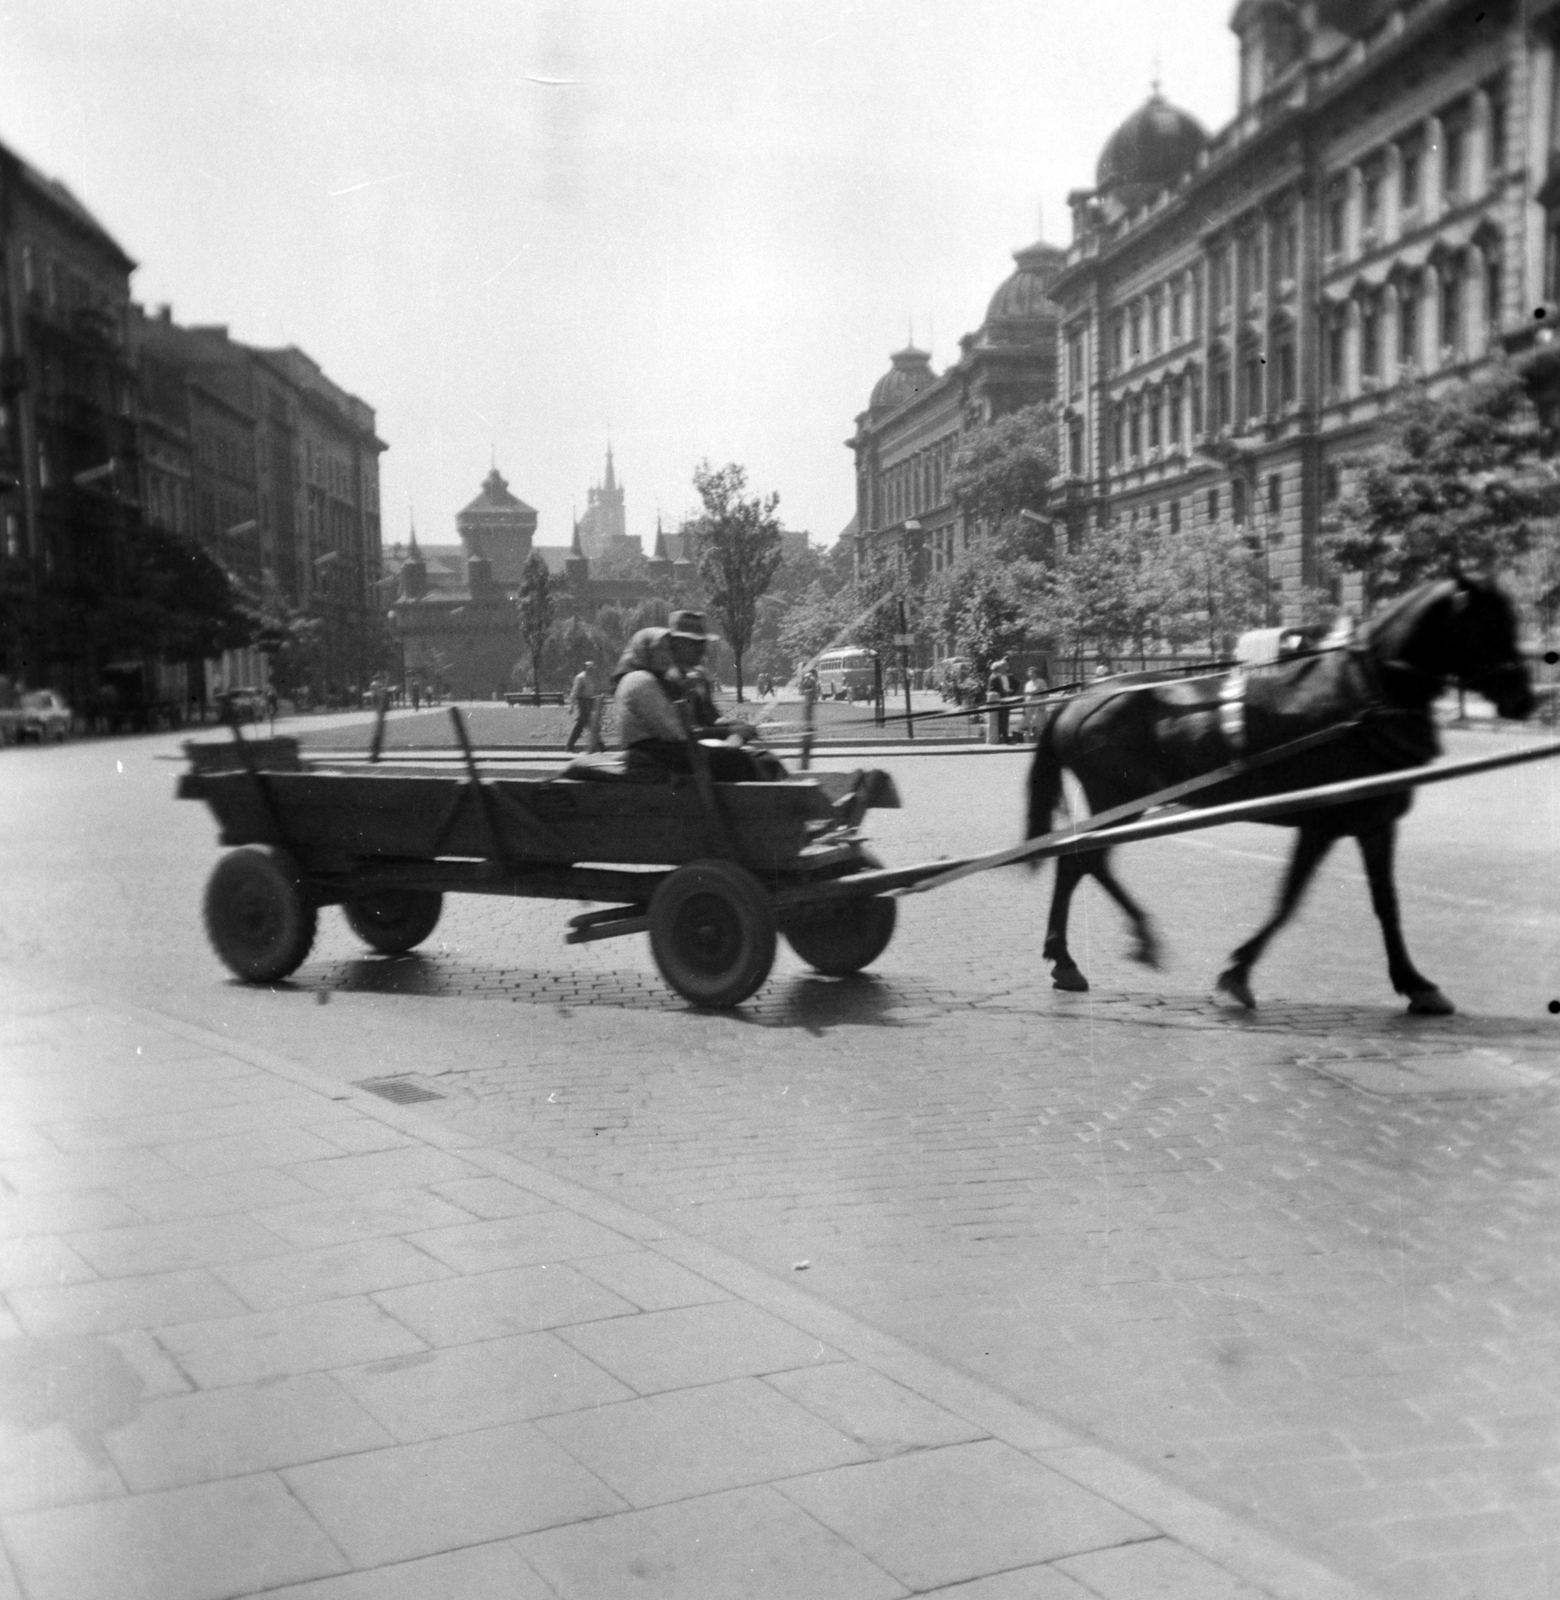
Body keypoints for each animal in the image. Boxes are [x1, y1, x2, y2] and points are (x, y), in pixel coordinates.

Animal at [1024, 579, 1536, 1011]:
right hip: (1115, 799)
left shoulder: (1376, 821)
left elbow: (1386, 904)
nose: (1525, 699)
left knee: (1075, 862)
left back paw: (1065, 957)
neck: (1366, 694)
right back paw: (1132, 937)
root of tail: (1076, 701)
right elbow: (1288, 901)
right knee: (1087, 860)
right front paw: (1238, 972)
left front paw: (1415, 983)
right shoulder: (1321, 821)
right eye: (1491, 625)